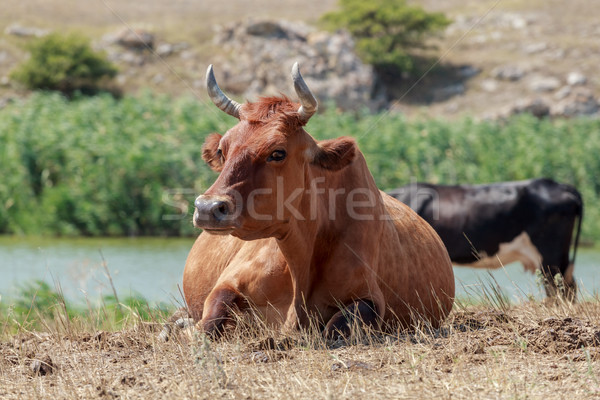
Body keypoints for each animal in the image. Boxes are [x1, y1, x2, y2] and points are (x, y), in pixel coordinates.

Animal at [169, 63, 454, 338]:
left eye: (278, 152)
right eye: (222, 150)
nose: (208, 207)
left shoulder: (370, 298)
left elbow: (337, 327)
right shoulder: (228, 282)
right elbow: (210, 319)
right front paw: (184, 329)